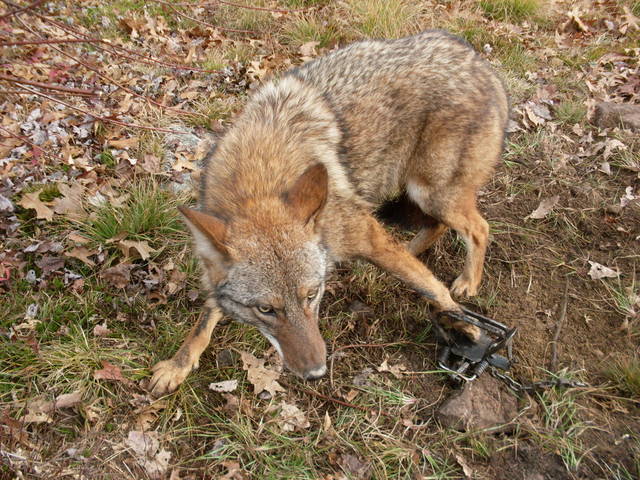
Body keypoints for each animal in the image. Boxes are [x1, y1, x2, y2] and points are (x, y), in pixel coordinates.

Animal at [149, 30, 509, 395]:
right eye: (266, 309)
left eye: (312, 295)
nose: (316, 373)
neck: (259, 179)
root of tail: (483, 66)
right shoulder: (215, 264)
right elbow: (205, 317)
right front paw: (178, 365)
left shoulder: (367, 234)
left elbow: (431, 286)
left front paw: (463, 323)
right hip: (421, 195)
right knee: (435, 231)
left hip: (432, 194)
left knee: (478, 228)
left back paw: (467, 282)